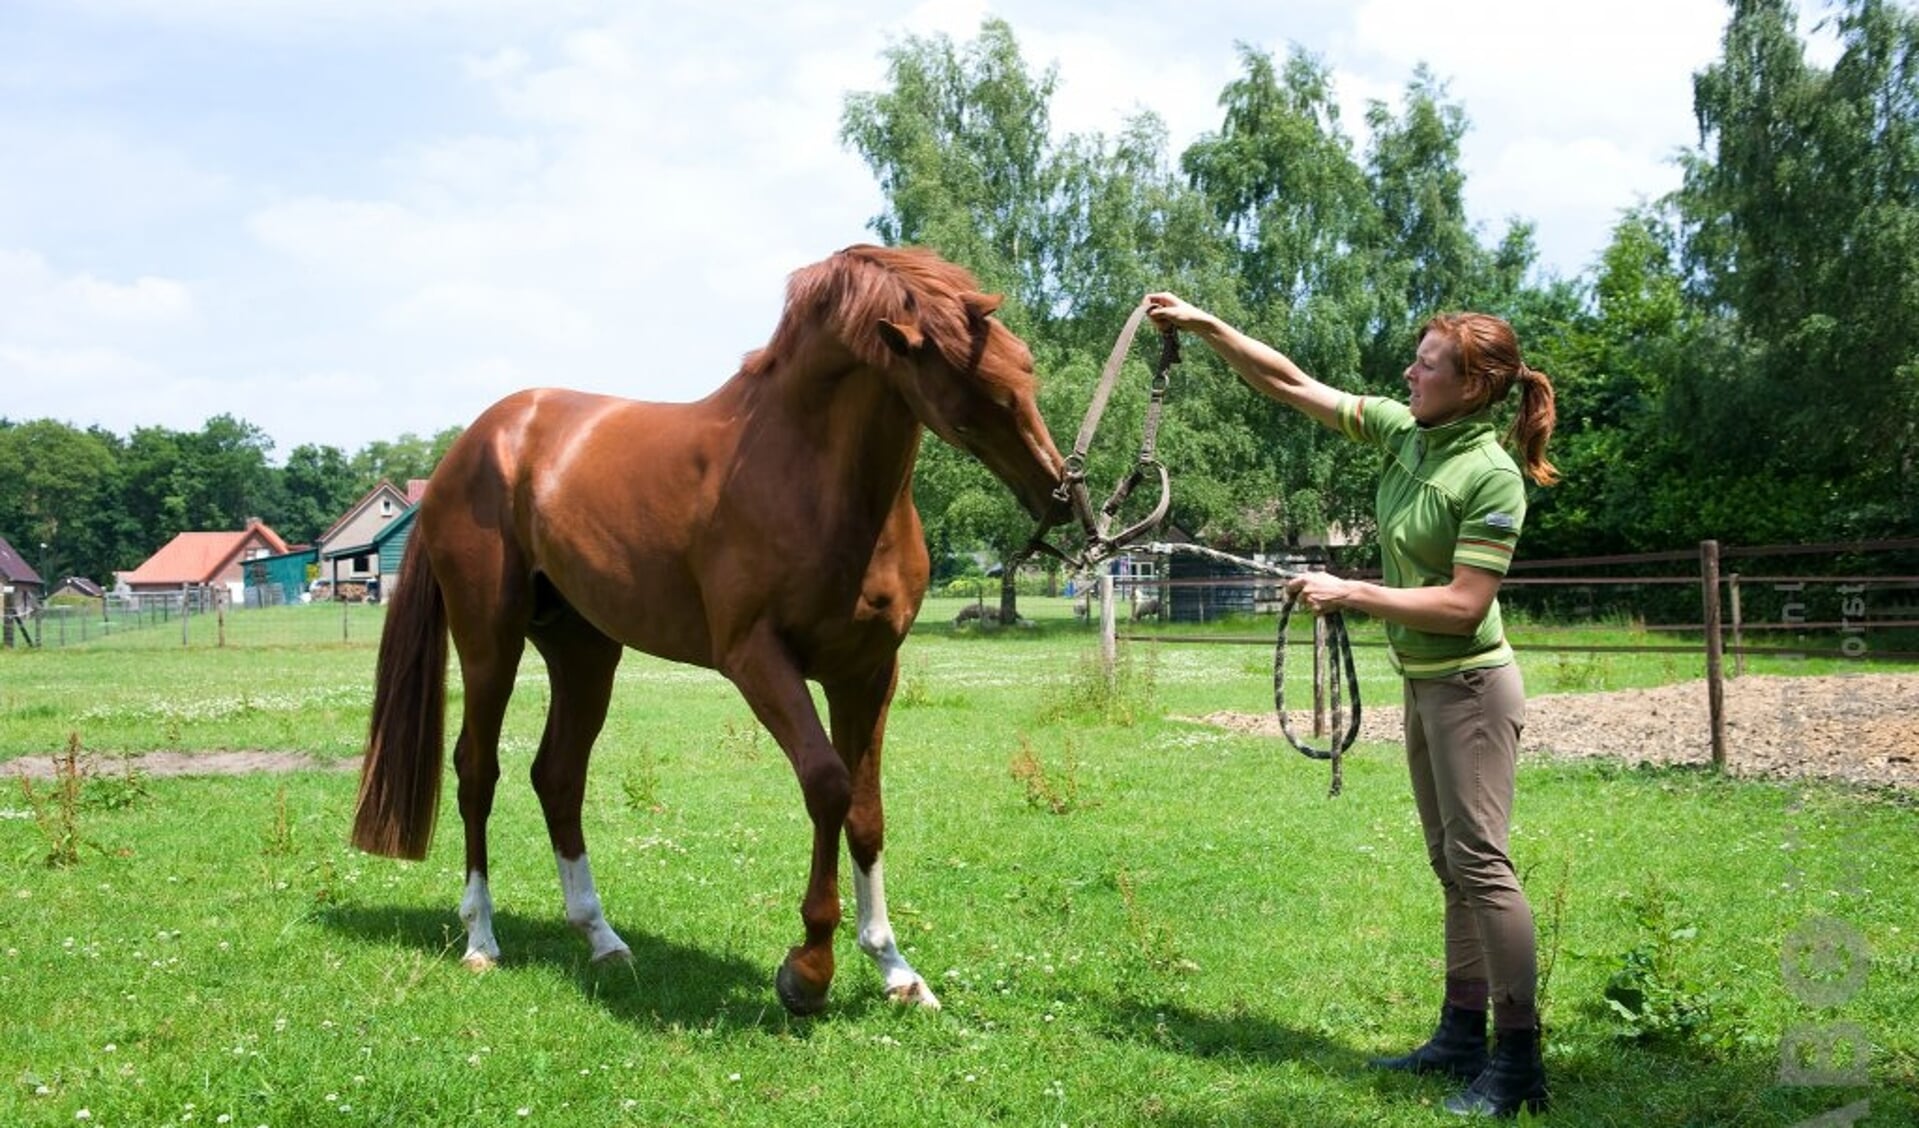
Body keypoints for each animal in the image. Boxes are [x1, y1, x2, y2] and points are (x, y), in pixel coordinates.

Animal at [345, 244, 1066, 1012]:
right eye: (977, 388)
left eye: (1024, 369)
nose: (1059, 490)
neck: (808, 476)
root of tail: (469, 447)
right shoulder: (757, 660)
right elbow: (828, 785)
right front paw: (808, 969)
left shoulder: (867, 670)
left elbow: (866, 811)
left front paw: (895, 970)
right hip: (490, 643)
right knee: (477, 771)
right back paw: (481, 939)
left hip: (585, 652)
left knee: (558, 776)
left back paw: (601, 938)